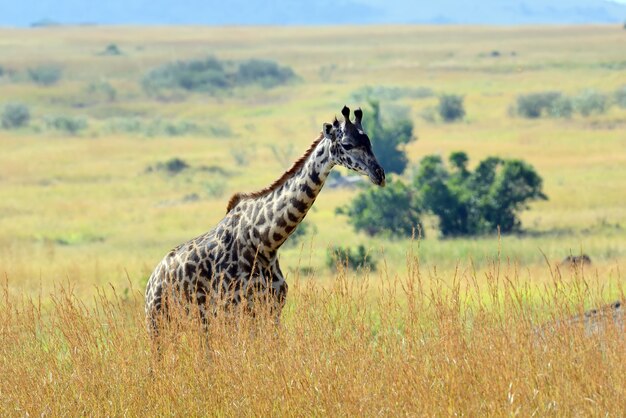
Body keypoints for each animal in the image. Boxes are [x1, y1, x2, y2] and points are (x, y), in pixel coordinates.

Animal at [146, 106, 386, 334]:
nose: (379, 174)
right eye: (347, 144)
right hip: (159, 324)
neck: (266, 241)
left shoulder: (272, 309)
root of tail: (151, 282)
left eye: (369, 141)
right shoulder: (235, 310)